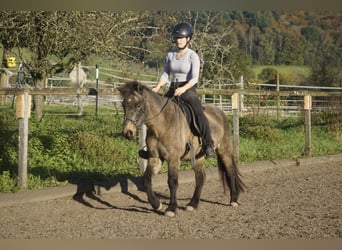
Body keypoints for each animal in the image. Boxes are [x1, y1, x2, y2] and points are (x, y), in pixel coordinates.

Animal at [117, 81, 246, 217]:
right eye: (123, 104)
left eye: (138, 105)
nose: (128, 132)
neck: (162, 124)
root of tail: (220, 112)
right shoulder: (155, 157)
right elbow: (146, 179)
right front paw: (157, 204)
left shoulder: (173, 158)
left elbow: (172, 182)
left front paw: (171, 208)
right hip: (199, 157)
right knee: (200, 178)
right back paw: (192, 204)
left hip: (224, 151)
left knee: (230, 171)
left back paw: (233, 200)